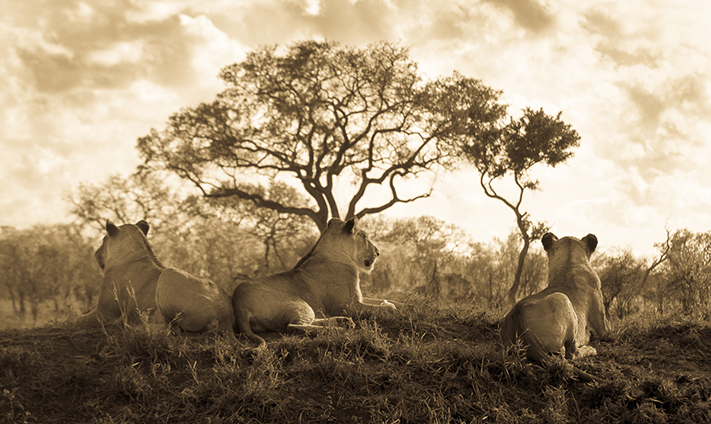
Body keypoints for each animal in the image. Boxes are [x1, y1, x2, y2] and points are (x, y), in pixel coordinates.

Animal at [235, 217, 398, 350]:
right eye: (365, 237)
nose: (378, 252)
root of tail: (238, 304)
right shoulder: (348, 305)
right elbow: (384, 309)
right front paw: (390, 308)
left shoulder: (358, 298)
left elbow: (393, 301)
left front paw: (398, 304)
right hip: (298, 303)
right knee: (293, 326)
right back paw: (339, 329)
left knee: (312, 321)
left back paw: (343, 321)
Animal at [500, 234, 612, 382]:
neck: (569, 265)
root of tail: (520, 326)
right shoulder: (603, 329)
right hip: (562, 298)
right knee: (571, 354)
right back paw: (589, 348)